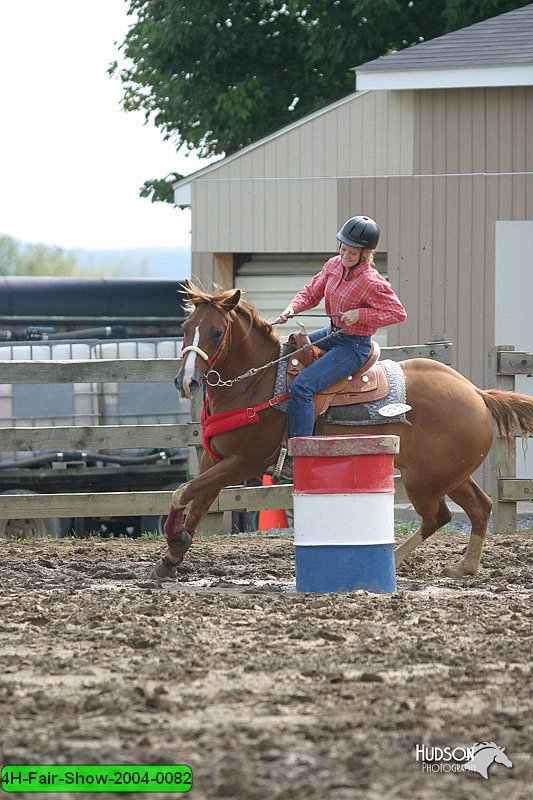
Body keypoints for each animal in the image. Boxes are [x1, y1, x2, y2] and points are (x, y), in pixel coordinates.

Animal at [149, 286, 532, 580]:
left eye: (216, 332)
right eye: (186, 326)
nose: (186, 381)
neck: (258, 383)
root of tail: (477, 394)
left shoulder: (244, 462)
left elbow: (183, 492)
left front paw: (174, 540)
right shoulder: (215, 460)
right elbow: (197, 500)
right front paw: (172, 556)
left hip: (424, 480)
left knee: (439, 517)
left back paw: (393, 561)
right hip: (450, 474)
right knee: (480, 508)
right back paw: (464, 568)